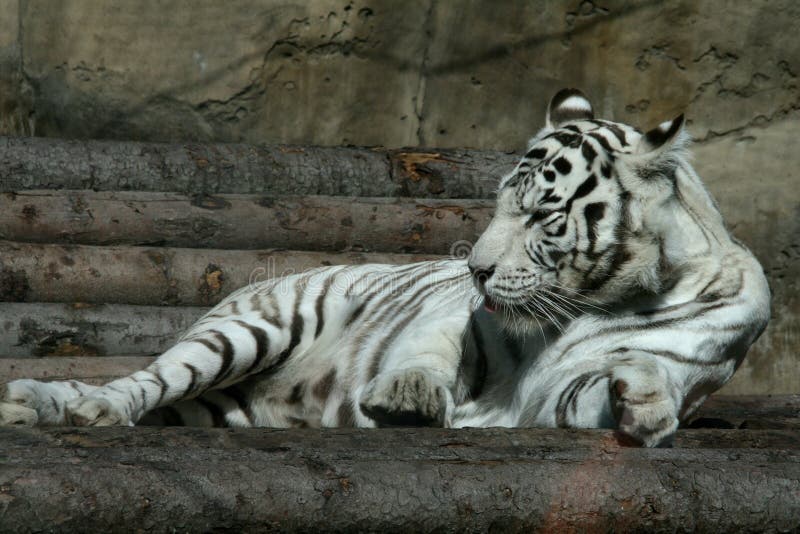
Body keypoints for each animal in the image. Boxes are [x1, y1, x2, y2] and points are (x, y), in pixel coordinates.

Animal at [0, 89, 768, 448]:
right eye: (499, 203)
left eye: (541, 217)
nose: (476, 270)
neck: (599, 299)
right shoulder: (458, 323)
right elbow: (426, 351)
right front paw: (405, 397)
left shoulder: (559, 395)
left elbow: (613, 384)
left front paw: (644, 399)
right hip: (244, 332)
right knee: (142, 382)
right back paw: (75, 406)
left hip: (217, 402)